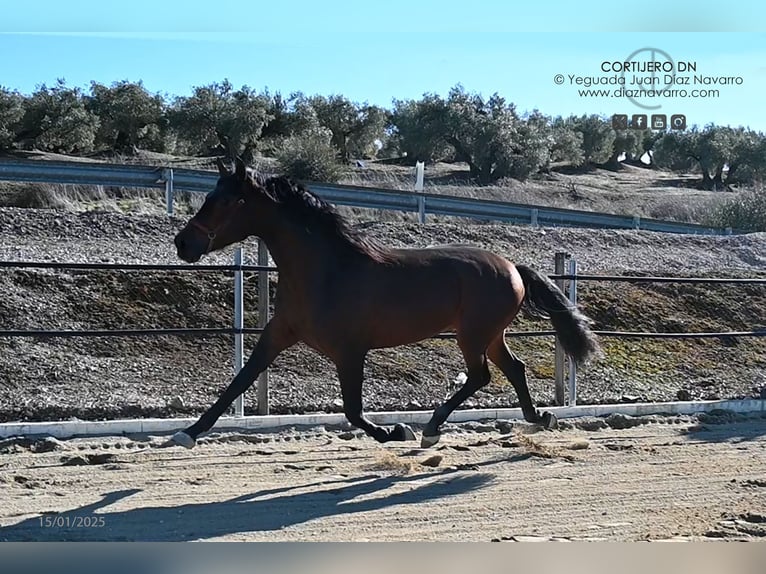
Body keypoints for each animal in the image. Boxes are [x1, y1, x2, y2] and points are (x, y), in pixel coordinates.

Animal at [171, 158, 604, 450]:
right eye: (209, 195)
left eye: (227, 201)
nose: (183, 244)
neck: (325, 270)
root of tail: (512, 266)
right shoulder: (279, 333)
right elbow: (239, 381)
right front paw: (187, 432)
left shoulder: (350, 350)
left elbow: (352, 410)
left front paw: (394, 430)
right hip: (490, 334)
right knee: (514, 369)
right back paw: (536, 418)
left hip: (473, 335)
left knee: (481, 376)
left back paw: (431, 428)